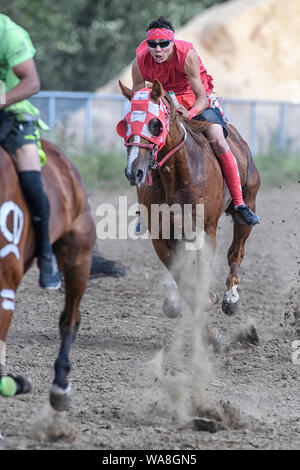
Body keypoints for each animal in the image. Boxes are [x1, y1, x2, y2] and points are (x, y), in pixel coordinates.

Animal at [119, 79, 260, 346]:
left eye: (155, 124)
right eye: (126, 123)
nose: (134, 172)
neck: (178, 173)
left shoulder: (207, 232)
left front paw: (213, 306)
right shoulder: (161, 235)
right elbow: (182, 278)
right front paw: (209, 329)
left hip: (247, 205)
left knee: (236, 252)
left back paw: (230, 298)